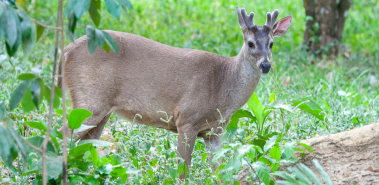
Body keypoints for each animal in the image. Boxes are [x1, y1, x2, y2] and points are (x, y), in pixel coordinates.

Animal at [58, 6, 292, 178]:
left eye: (272, 43)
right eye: (250, 43)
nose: (265, 65)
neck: (223, 84)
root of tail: (66, 51)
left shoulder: (215, 132)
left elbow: (219, 171)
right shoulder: (187, 119)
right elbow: (183, 170)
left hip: (100, 110)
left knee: (85, 145)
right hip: (89, 99)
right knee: (63, 133)